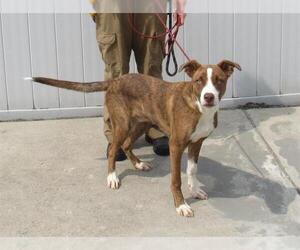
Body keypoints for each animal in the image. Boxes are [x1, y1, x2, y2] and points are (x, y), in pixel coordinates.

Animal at [27, 59, 241, 217]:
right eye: (198, 81)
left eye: (219, 80)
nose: (209, 97)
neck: (198, 107)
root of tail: (114, 81)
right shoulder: (176, 145)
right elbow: (176, 180)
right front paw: (180, 205)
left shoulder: (196, 143)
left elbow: (192, 170)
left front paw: (195, 190)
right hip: (121, 125)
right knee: (113, 149)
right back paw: (112, 177)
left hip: (141, 123)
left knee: (127, 144)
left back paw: (139, 164)